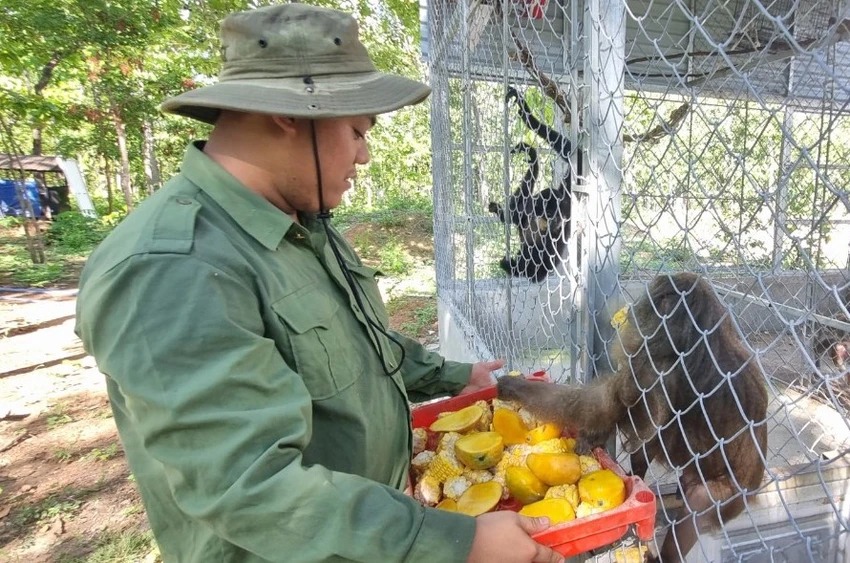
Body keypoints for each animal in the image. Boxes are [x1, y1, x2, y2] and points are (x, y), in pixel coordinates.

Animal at [486, 141, 568, 282]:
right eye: (550, 214)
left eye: (559, 215)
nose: (555, 221)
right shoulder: (529, 208)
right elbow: (509, 217)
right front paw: (533, 160)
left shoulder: (558, 230)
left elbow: (545, 255)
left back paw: (513, 269)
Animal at [496, 272, 768, 560]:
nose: (634, 310)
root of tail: (753, 489)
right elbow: (640, 433)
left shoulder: (651, 366)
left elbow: (609, 409)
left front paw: (515, 387)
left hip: (730, 495)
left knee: (699, 502)